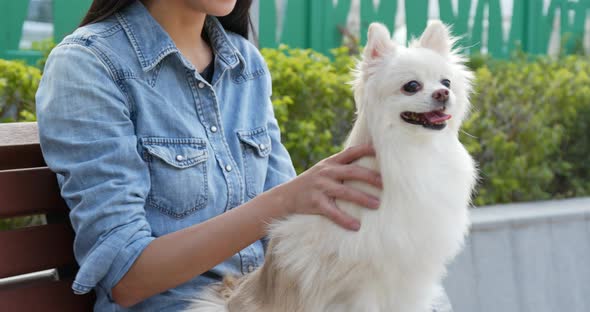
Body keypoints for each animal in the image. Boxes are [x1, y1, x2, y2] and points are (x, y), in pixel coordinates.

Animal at [187, 21, 478, 312]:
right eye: (412, 86)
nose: (443, 93)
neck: (415, 150)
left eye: (446, 82)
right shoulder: (364, 283)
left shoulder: (412, 280)